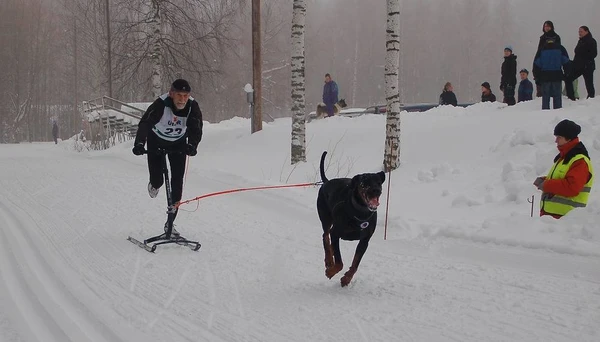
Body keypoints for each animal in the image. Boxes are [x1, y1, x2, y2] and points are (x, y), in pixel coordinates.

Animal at [316, 151, 386, 288]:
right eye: (364, 183)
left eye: (378, 182)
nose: (376, 190)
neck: (361, 212)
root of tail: (326, 182)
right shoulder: (336, 233)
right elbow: (339, 262)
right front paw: (330, 272)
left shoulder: (364, 240)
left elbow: (355, 264)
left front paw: (346, 279)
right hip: (325, 218)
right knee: (325, 236)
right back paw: (329, 260)